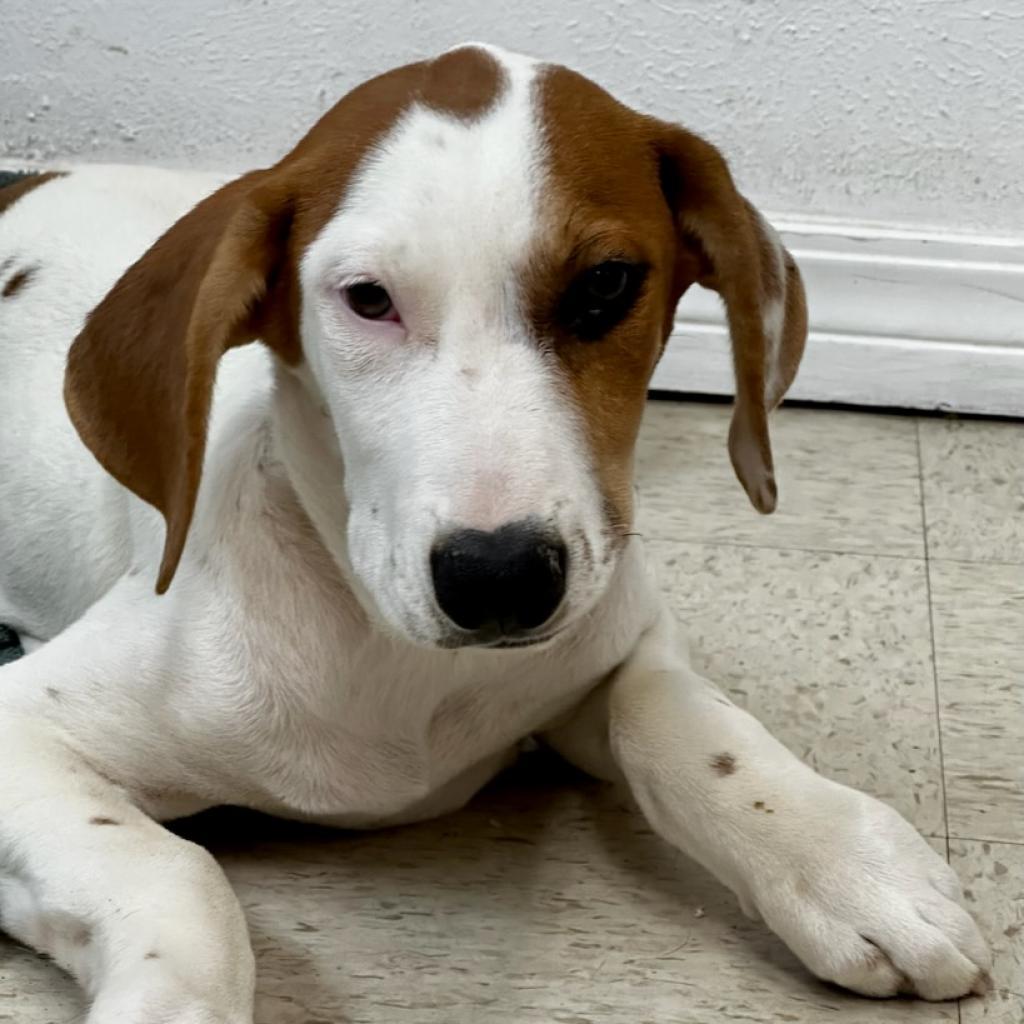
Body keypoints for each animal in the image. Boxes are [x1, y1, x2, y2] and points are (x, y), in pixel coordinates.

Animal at [0, 41, 991, 1024]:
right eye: (367, 299)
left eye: (605, 284)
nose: (501, 577)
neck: (394, 656)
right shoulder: (24, 731)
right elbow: (176, 872)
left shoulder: (617, 631)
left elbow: (681, 720)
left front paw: (845, 861)